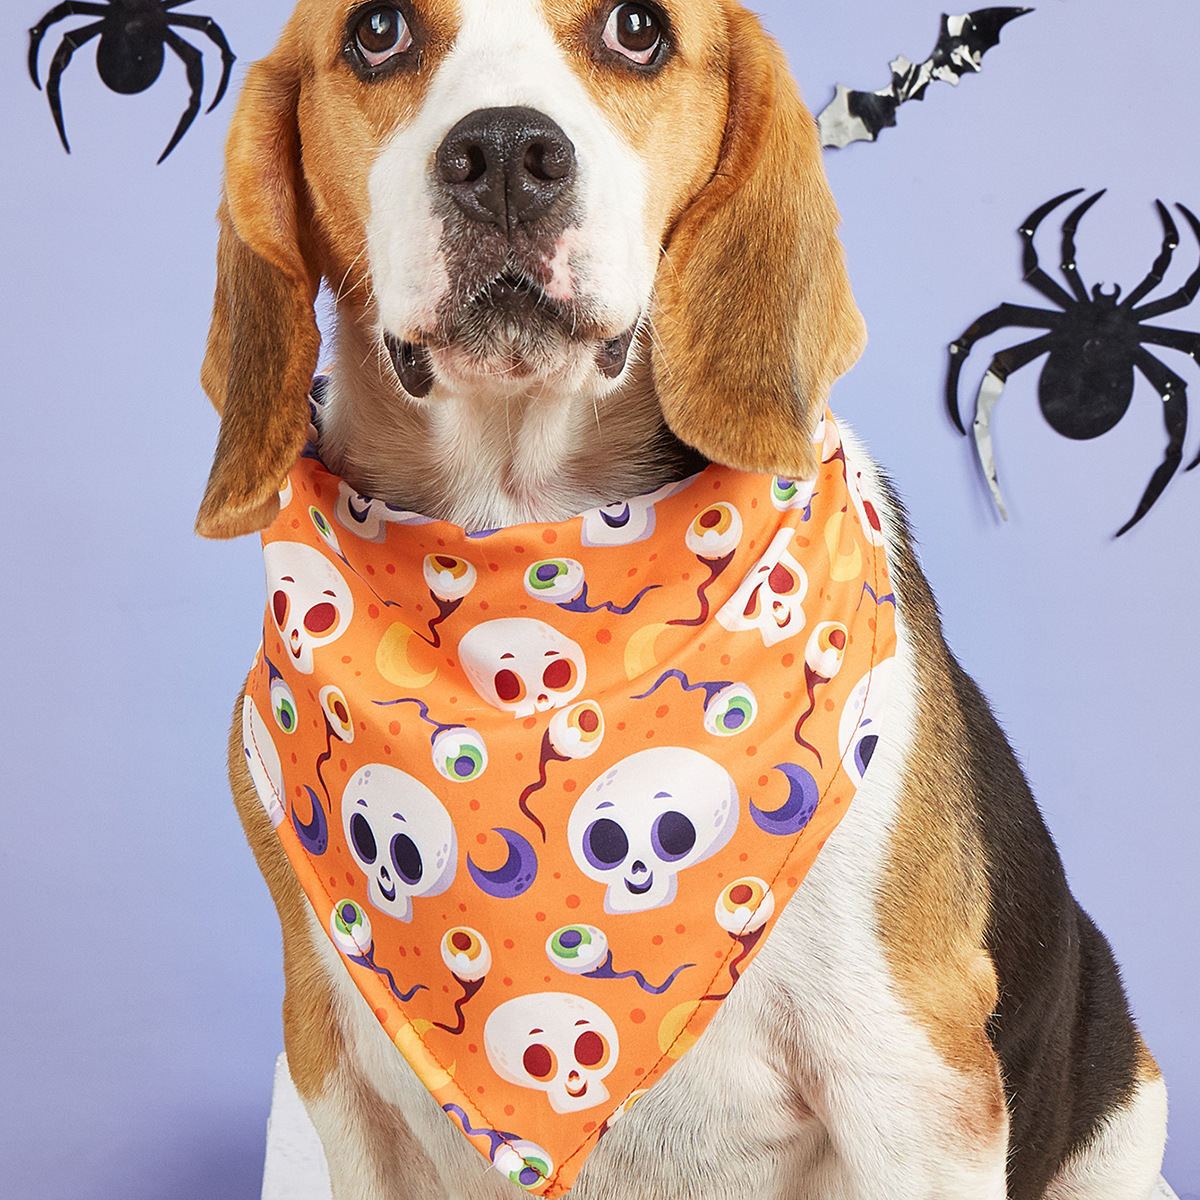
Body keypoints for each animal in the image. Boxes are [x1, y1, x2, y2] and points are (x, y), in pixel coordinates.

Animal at [195, 1, 1169, 1197]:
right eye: (376, 31)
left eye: (638, 29)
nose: (506, 158)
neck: (521, 540)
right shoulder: (335, 1077)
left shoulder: (915, 1079)